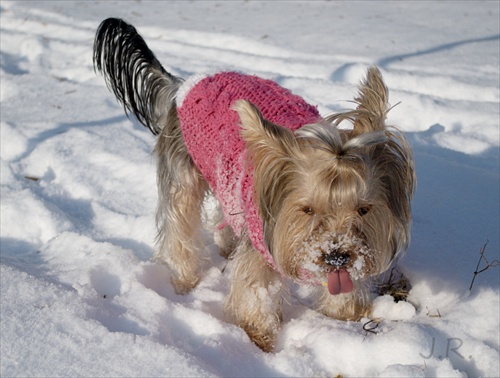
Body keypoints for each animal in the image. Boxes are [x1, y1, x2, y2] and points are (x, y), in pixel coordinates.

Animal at [93, 17, 414, 352]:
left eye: (363, 209)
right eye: (307, 210)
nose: (336, 257)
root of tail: (183, 85)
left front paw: (344, 315)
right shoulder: (261, 241)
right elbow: (256, 290)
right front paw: (259, 339)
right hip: (183, 173)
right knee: (179, 226)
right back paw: (184, 280)